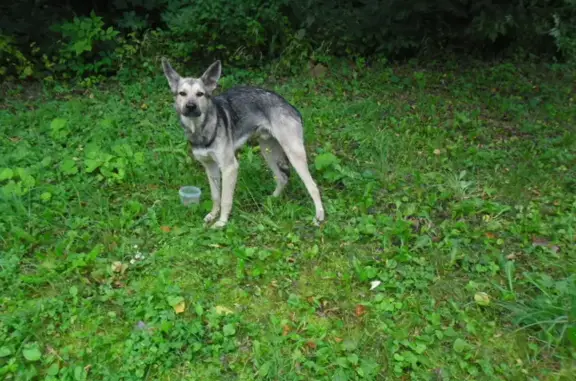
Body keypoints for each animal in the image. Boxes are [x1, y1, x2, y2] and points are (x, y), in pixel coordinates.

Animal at [162, 58, 324, 227]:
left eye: (200, 94)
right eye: (182, 93)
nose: (191, 106)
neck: (201, 128)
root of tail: (289, 105)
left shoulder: (229, 168)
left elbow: (225, 199)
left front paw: (222, 222)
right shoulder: (210, 167)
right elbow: (216, 196)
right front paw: (213, 215)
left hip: (294, 154)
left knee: (313, 186)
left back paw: (319, 216)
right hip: (268, 152)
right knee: (282, 178)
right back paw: (271, 200)